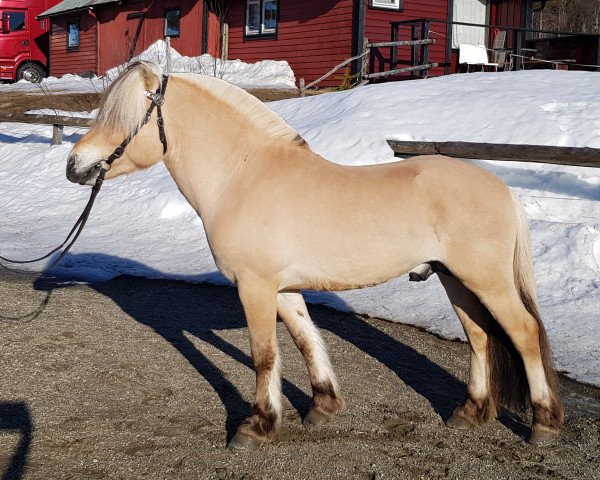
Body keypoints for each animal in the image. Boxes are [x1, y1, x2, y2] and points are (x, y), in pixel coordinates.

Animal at [68, 61, 564, 450]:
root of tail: (502, 189)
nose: (75, 166)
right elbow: (306, 339)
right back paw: (470, 412)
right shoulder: (282, 288)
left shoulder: (255, 286)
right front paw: (323, 406)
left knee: (523, 332)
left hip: (486, 280)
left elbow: (264, 355)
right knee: (479, 336)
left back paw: (543, 424)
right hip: (454, 278)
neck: (242, 176)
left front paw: (256, 426)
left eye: (124, 116)